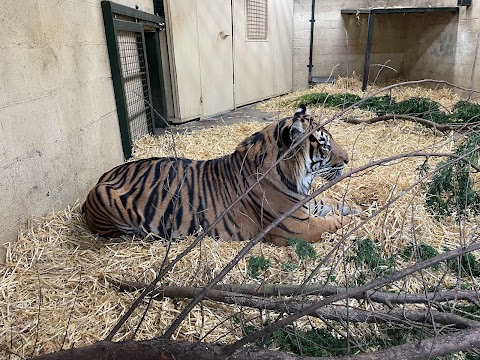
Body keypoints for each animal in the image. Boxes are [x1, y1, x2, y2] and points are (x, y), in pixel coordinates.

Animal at [82, 105, 356, 246]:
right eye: (325, 145)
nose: (347, 160)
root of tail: (101, 177)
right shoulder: (296, 227)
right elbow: (334, 224)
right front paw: (356, 222)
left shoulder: (307, 202)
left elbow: (330, 202)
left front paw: (358, 208)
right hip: (107, 201)